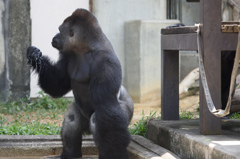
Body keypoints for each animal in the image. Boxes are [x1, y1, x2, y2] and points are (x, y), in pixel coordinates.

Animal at [27, 9, 135, 159]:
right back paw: (70, 154)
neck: (85, 48)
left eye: (59, 30)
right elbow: (57, 84)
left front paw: (115, 154)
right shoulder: (67, 53)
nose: (55, 36)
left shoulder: (105, 63)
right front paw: (36, 58)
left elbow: (106, 106)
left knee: (101, 119)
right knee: (72, 120)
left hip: (128, 113)